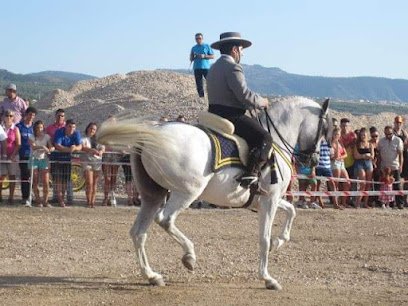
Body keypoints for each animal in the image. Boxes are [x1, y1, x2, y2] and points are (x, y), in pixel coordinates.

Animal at [96, 97, 332, 290]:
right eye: (323, 129)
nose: (313, 161)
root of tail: (151, 134)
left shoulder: (264, 199)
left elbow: (291, 211)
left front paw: (279, 242)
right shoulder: (270, 200)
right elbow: (264, 238)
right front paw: (267, 278)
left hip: (153, 195)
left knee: (139, 233)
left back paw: (152, 276)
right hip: (186, 192)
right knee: (165, 219)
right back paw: (189, 256)